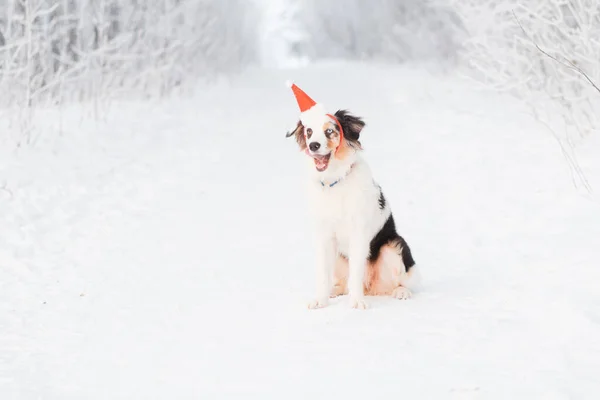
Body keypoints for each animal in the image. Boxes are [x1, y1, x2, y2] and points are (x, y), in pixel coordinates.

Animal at [286, 83, 418, 310]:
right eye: (309, 132)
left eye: (329, 131)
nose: (313, 146)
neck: (335, 181)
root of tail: (371, 287)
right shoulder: (324, 236)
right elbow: (323, 275)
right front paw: (320, 300)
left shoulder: (359, 234)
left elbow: (356, 273)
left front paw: (357, 302)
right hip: (340, 255)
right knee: (342, 281)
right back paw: (335, 291)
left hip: (394, 245)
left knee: (399, 280)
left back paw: (400, 292)